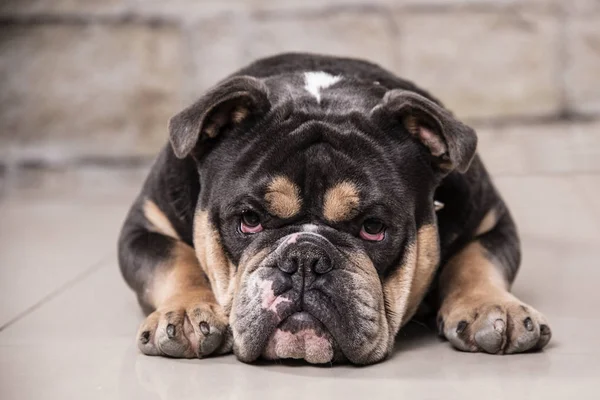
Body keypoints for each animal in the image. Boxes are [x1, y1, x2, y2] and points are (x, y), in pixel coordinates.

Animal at [118, 51, 552, 364]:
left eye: (373, 227)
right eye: (249, 220)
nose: (305, 258)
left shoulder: (491, 221)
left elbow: (476, 259)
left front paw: (492, 307)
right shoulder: (145, 226)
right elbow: (173, 259)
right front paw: (187, 312)